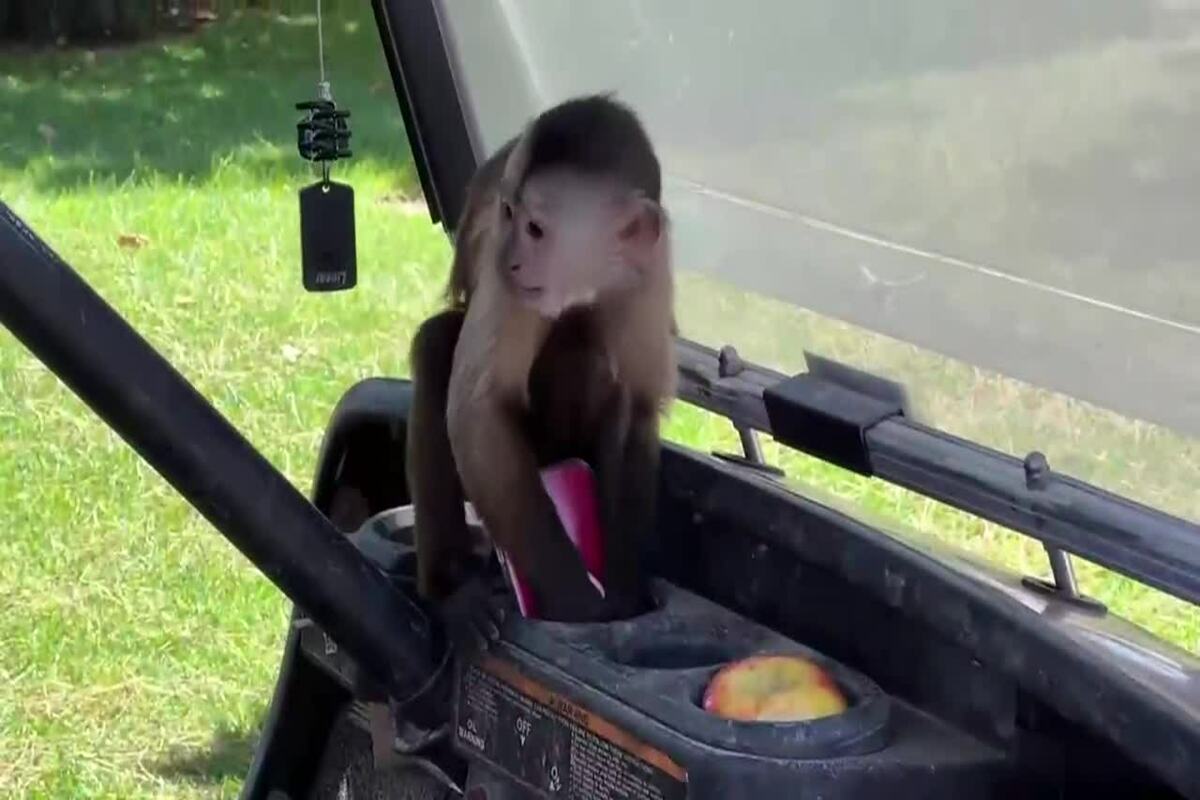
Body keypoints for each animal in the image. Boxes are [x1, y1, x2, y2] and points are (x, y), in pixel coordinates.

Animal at [405, 94, 676, 630]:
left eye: (535, 229)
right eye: (508, 213)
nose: (509, 257)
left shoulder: (650, 270)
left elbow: (636, 403)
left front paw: (626, 595)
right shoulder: (511, 284)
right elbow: (479, 412)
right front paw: (577, 604)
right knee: (437, 345)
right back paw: (450, 590)